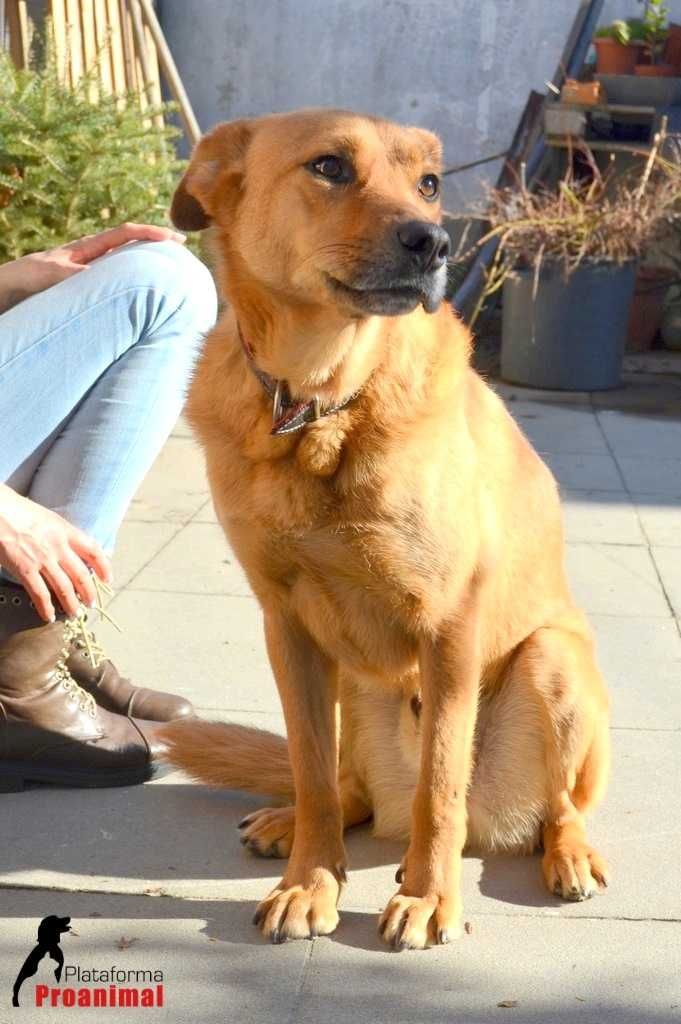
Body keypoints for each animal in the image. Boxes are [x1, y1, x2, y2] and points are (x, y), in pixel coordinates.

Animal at [160, 108, 610, 946]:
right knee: (346, 789)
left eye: (428, 183)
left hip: (553, 662)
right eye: (329, 167)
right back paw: (298, 824)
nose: (432, 243)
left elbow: (440, 786)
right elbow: (310, 771)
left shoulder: (449, 630)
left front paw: (429, 898)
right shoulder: (288, 629)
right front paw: (309, 881)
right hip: (351, 686)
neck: (320, 403)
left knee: (553, 806)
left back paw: (564, 853)